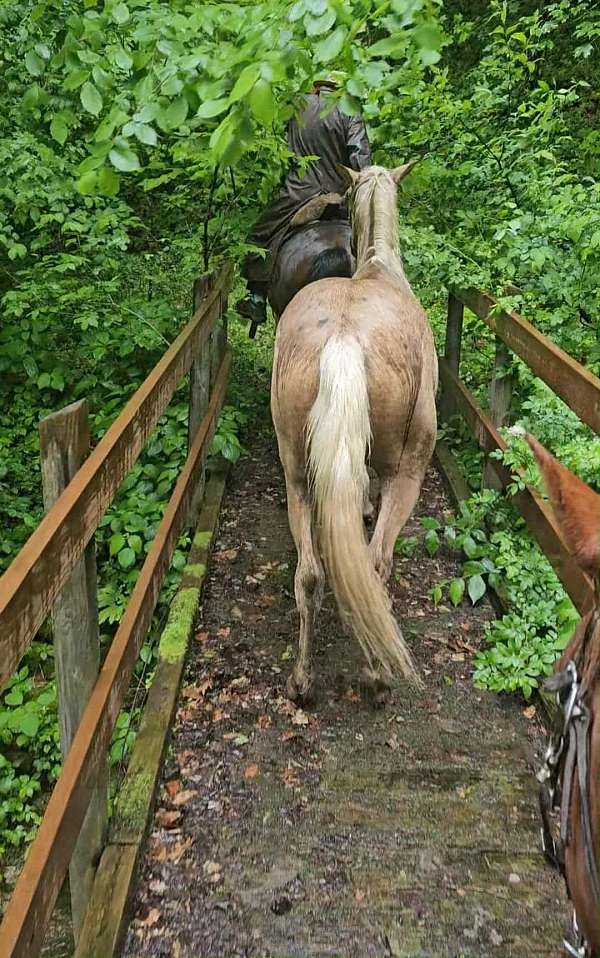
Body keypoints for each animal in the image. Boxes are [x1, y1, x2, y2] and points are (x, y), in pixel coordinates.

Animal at [271, 162, 438, 703]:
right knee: (375, 560)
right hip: (408, 470)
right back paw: (378, 676)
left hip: (297, 475)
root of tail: (343, 338)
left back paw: (301, 680)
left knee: (309, 575)